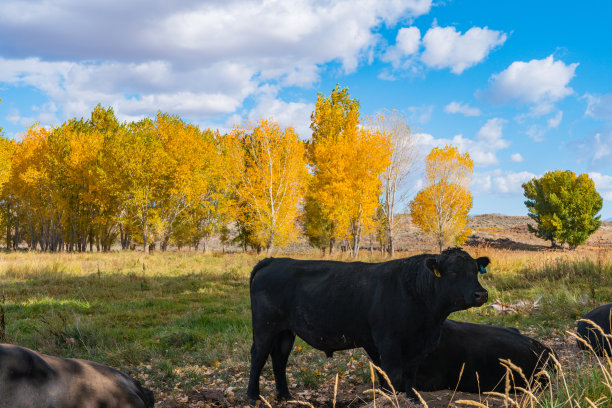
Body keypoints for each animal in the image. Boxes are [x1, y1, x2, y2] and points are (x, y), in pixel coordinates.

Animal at [246, 245, 490, 402]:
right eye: (454, 272)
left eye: (476, 271)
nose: (481, 294)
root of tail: (275, 260)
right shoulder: (389, 343)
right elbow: (392, 374)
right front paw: (391, 399)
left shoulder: (417, 346)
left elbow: (409, 375)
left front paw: (411, 398)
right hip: (265, 327)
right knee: (258, 356)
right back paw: (253, 396)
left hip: (286, 331)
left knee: (279, 358)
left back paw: (285, 396)